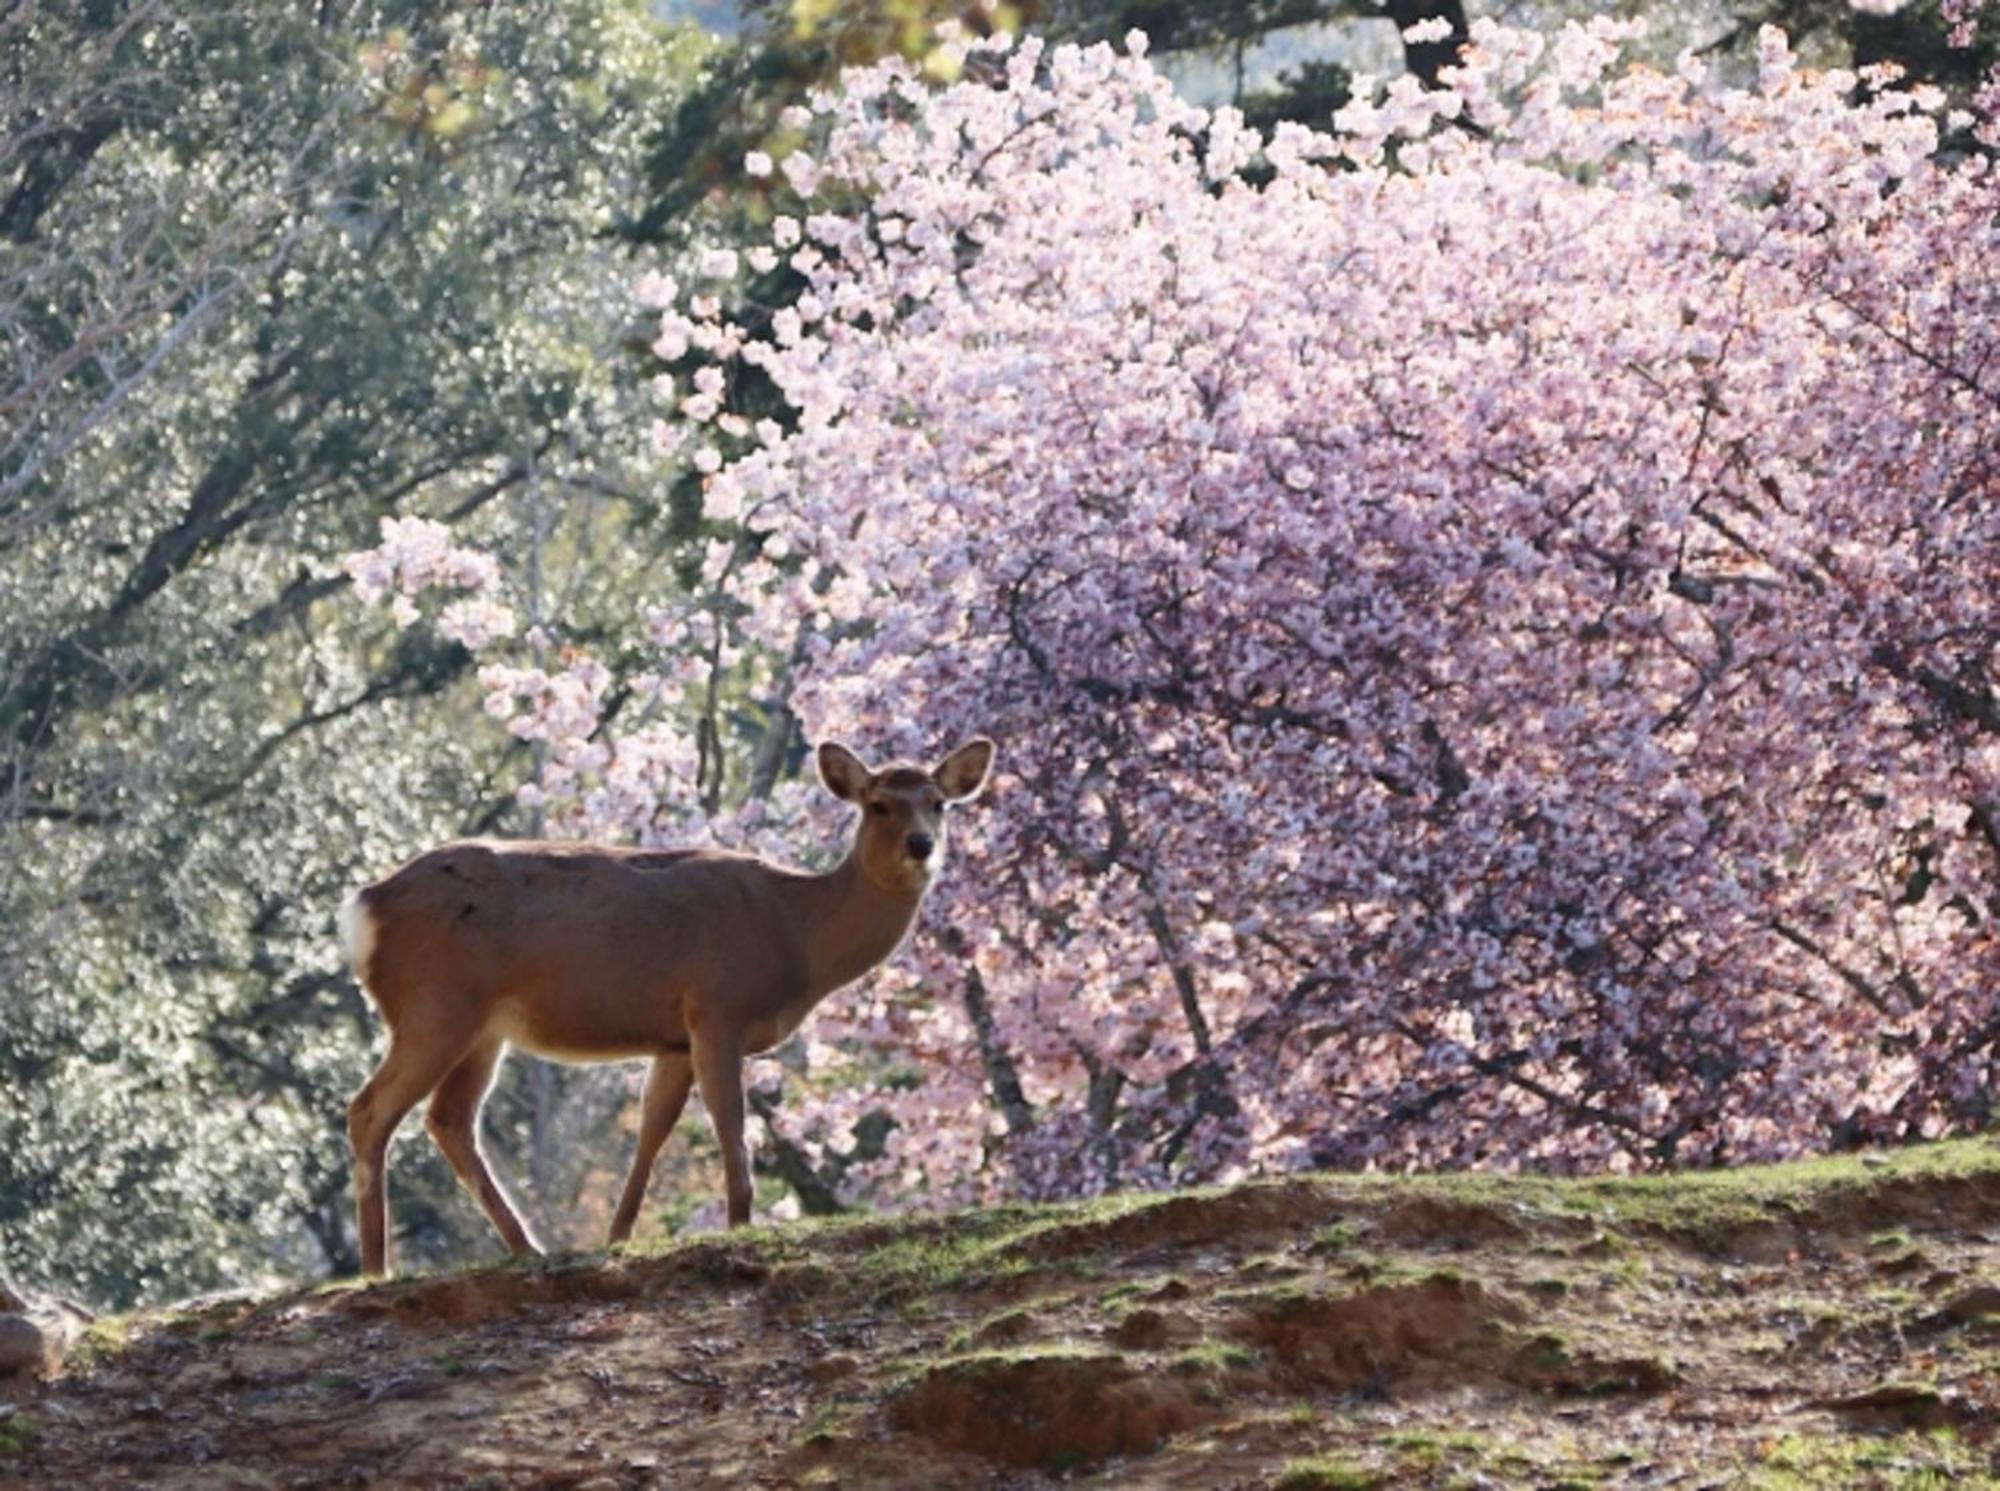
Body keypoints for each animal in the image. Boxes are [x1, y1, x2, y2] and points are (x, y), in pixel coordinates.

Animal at [342, 731, 1000, 1263]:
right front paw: (740, 1229)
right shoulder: (716, 1006)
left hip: (483, 1028)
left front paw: (616, 1239)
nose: (921, 845)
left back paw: (528, 1249)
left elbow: (651, 1133)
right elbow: (732, 1128)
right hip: (434, 1005)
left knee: (448, 1119)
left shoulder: (673, 1038)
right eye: (878, 804)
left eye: (939, 803)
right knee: (370, 1109)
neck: (796, 933)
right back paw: (377, 1268)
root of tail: (365, 907)